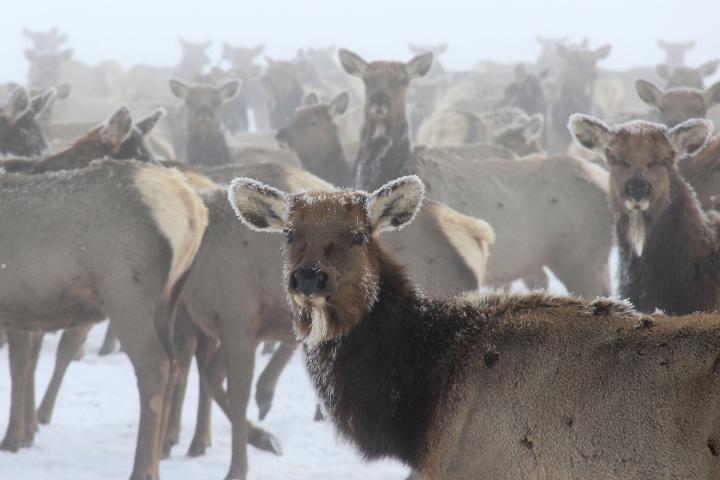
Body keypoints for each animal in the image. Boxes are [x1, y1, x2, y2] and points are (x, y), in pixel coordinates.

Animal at [0, 159, 208, 480]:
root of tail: (190, 207)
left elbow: (18, 367)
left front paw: (13, 439)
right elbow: (23, 364)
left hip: (127, 295)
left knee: (155, 366)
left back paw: (141, 470)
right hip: (169, 300)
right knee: (175, 364)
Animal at [340, 48, 613, 298]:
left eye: (402, 80)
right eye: (367, 79)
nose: (379, 100)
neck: (386, 171)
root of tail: (602, 179)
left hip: (581, 257)